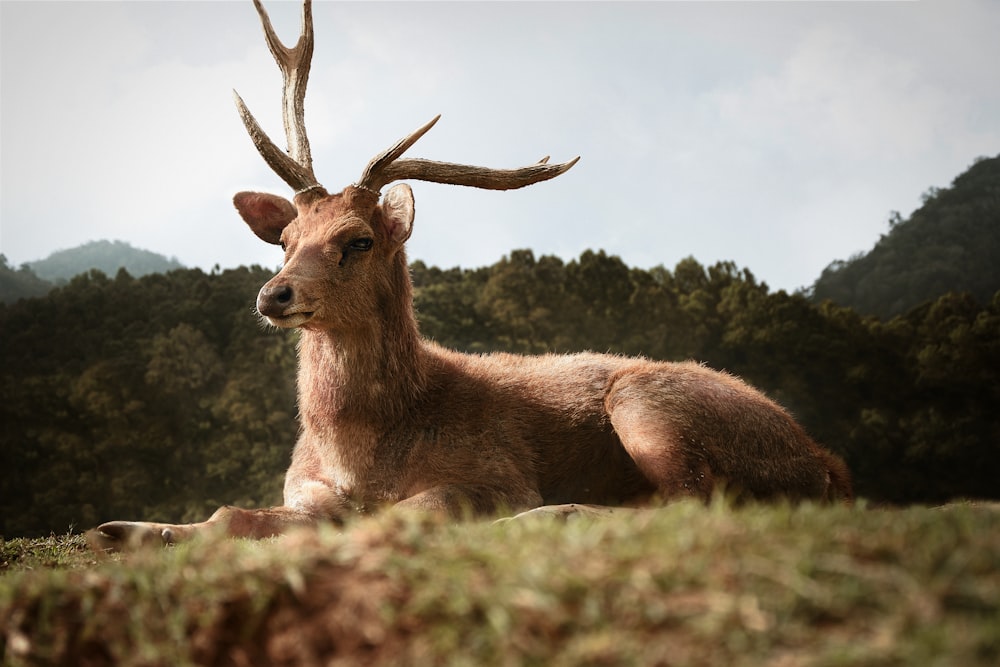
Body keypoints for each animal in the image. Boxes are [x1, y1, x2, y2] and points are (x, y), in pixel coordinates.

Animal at [88, 0, 852, 552]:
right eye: (284, 239)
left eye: (358, 239)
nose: (275, 294)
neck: (361, 448)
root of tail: (827, 463)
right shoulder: (303, 487)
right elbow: (230, 514)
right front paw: (122, 528)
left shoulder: (492, 470)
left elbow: (403, 513)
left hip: (651, 402)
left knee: (690, 501)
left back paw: (552, 516)